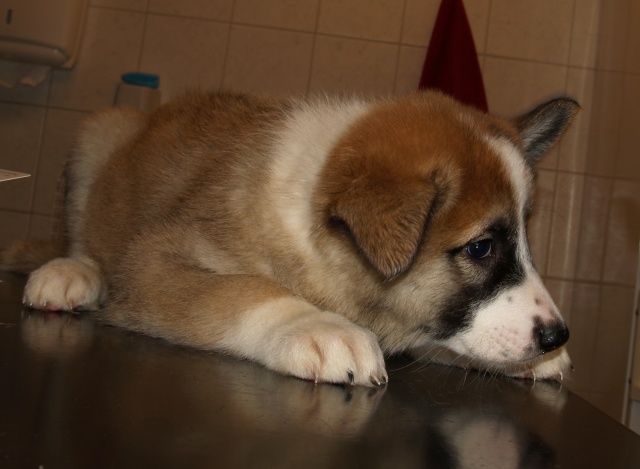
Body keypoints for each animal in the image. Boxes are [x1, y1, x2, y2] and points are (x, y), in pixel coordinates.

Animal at [2, 90, 578, 386]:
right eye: (481, 248)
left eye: (524, 237)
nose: (557, 336)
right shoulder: (154, 260)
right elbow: (244, 291)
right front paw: (318, 328)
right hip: (98, 136)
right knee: (81, 239)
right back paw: (70, 273)